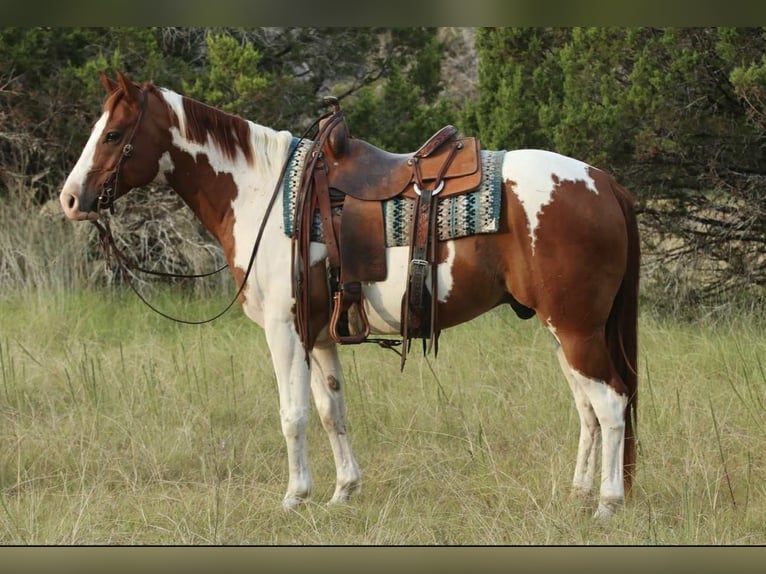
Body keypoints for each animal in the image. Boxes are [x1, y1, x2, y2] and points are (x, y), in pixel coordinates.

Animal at [59, 71, 639, 518]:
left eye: (113, 134)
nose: (70, 199)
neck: (261, 192)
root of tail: (604, 181)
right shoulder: (318, 335)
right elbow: (330, 410)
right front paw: (343, 492)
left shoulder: (285, 331)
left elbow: (292, 414)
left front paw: (294, 497)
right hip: (561, 330)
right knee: (588, 409)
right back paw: (578, 494)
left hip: (576, 329)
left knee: (611, 404)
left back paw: (608, 504)